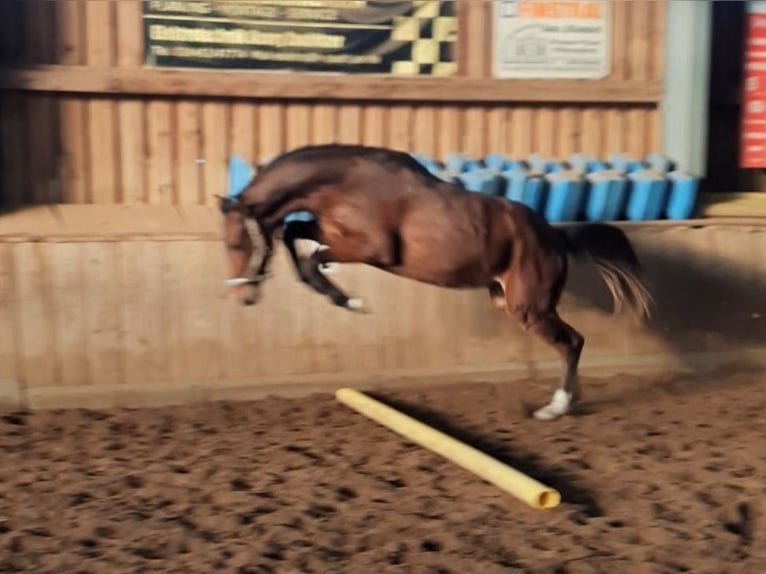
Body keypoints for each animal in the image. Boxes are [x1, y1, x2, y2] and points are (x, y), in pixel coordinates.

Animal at [216, 144, 653, 422]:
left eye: (236, 242)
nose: (242, 296)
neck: (345, 182)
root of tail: (556, 236)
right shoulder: (328, 229)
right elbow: (294, 235)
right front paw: (339, 296)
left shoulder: (373, 249)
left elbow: (311, 258)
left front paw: (351, 302)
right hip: (508, 301)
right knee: (571, 343)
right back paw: (571, 402)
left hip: (528, 307)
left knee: (572, 342)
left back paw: (555, 407)